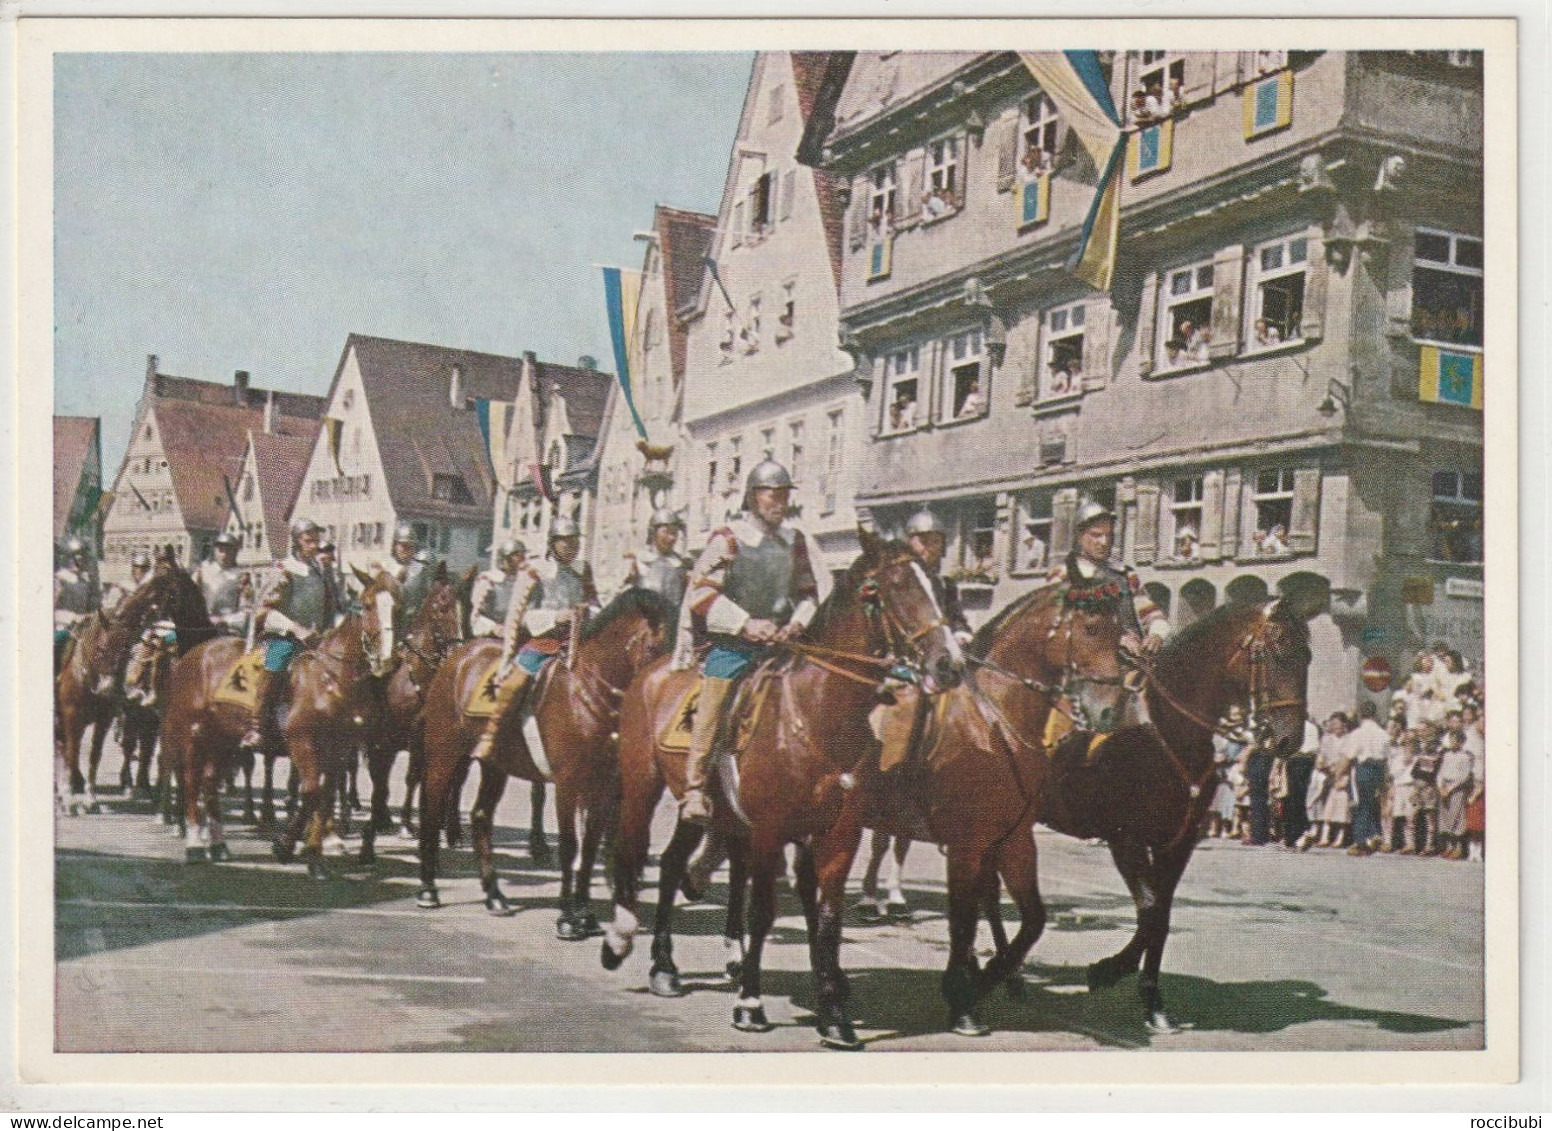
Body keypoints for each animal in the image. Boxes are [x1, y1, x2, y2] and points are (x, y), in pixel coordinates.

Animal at [56, 552, 186, 812]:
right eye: (100, 649)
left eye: (124, 649)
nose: (105, 688)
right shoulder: (72, 715)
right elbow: (74, 752)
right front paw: (70, 799)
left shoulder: (105, 719)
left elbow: (95, 754)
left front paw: (90, 798)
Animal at [157, 564, 397, 875]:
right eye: (367, 605)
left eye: (398, 606)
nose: (386, 658)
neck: (330, 676)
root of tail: (193, 655)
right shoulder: (301, 742)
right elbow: (311, 792)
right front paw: (289, 847)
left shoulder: (339, 748)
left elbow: (324, 795)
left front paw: (313, 853)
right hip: (194, 733)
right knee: (191, 781)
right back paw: (195, 845)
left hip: (222, 738)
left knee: (208, 784)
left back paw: (218, 845)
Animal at [415, 583, 676, 924]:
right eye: (655, 647)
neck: (587, 692)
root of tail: (456, 658)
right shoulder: (568, 783)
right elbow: (569, 845)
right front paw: (567, 917)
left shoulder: (603, 786)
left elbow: (589, 847)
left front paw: (583, 912)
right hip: (443, 755)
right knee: (431, 811)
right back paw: (428, 890)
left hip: (495, 766)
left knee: (481, 816)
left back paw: (494, 895)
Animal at [599, 530, 962, 1042]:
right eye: (889, 589)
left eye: (936, 584)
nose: (950, 663)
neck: (815, 710)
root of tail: (653, 670)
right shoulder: (770, 831)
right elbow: (763, 912)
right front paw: (750, 1003)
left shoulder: (838, 835)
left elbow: (826, 916)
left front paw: (834, 1014)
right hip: (642, 786)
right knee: (632, 851)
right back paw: (620, 939)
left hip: (706, 808)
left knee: (670, 864)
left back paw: (665, 967)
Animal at [1036, 592, 1316, 1030]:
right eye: (1278, 651)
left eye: (1308, 656)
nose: (1292, 740)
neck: (1167, 731)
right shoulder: (1126, 839)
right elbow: (1151, 911)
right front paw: (1111, 970)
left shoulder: (1178, 841)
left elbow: (1161, 915)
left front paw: (1148, 996)